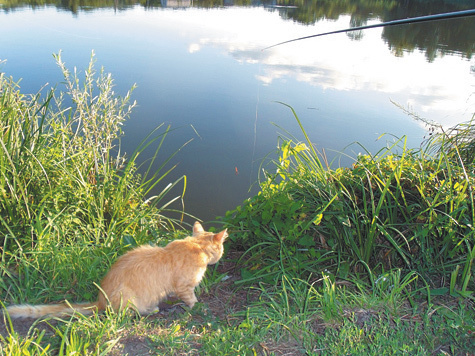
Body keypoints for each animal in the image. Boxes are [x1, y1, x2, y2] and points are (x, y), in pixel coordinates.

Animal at [5, 221, 229, 318]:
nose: (220, 257)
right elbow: (192, 299)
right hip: (127, 298)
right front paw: (197, 307)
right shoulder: (184, 286)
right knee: (128, 313)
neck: (196, 245)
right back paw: (150, 310)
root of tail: (100, 300)